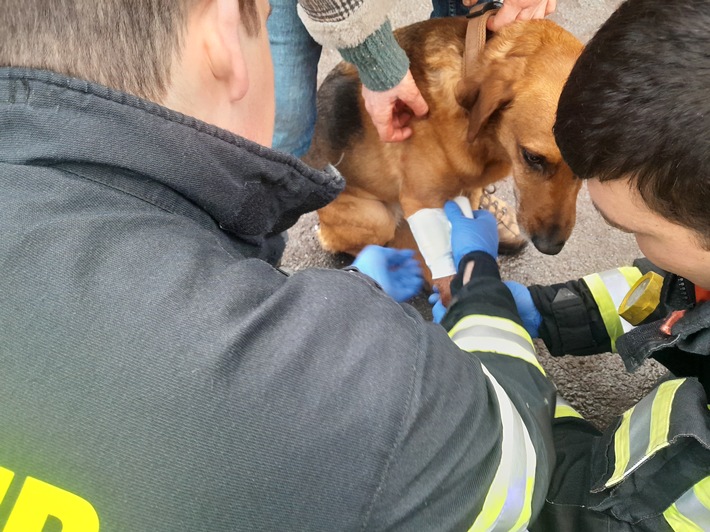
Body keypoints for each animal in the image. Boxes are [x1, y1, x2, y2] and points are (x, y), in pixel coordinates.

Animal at [304, 14, 584, 304]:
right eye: (532, 157)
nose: (550, 247)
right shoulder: (422, 201)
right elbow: (449, 274)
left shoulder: (467, 192)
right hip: (375, 218)